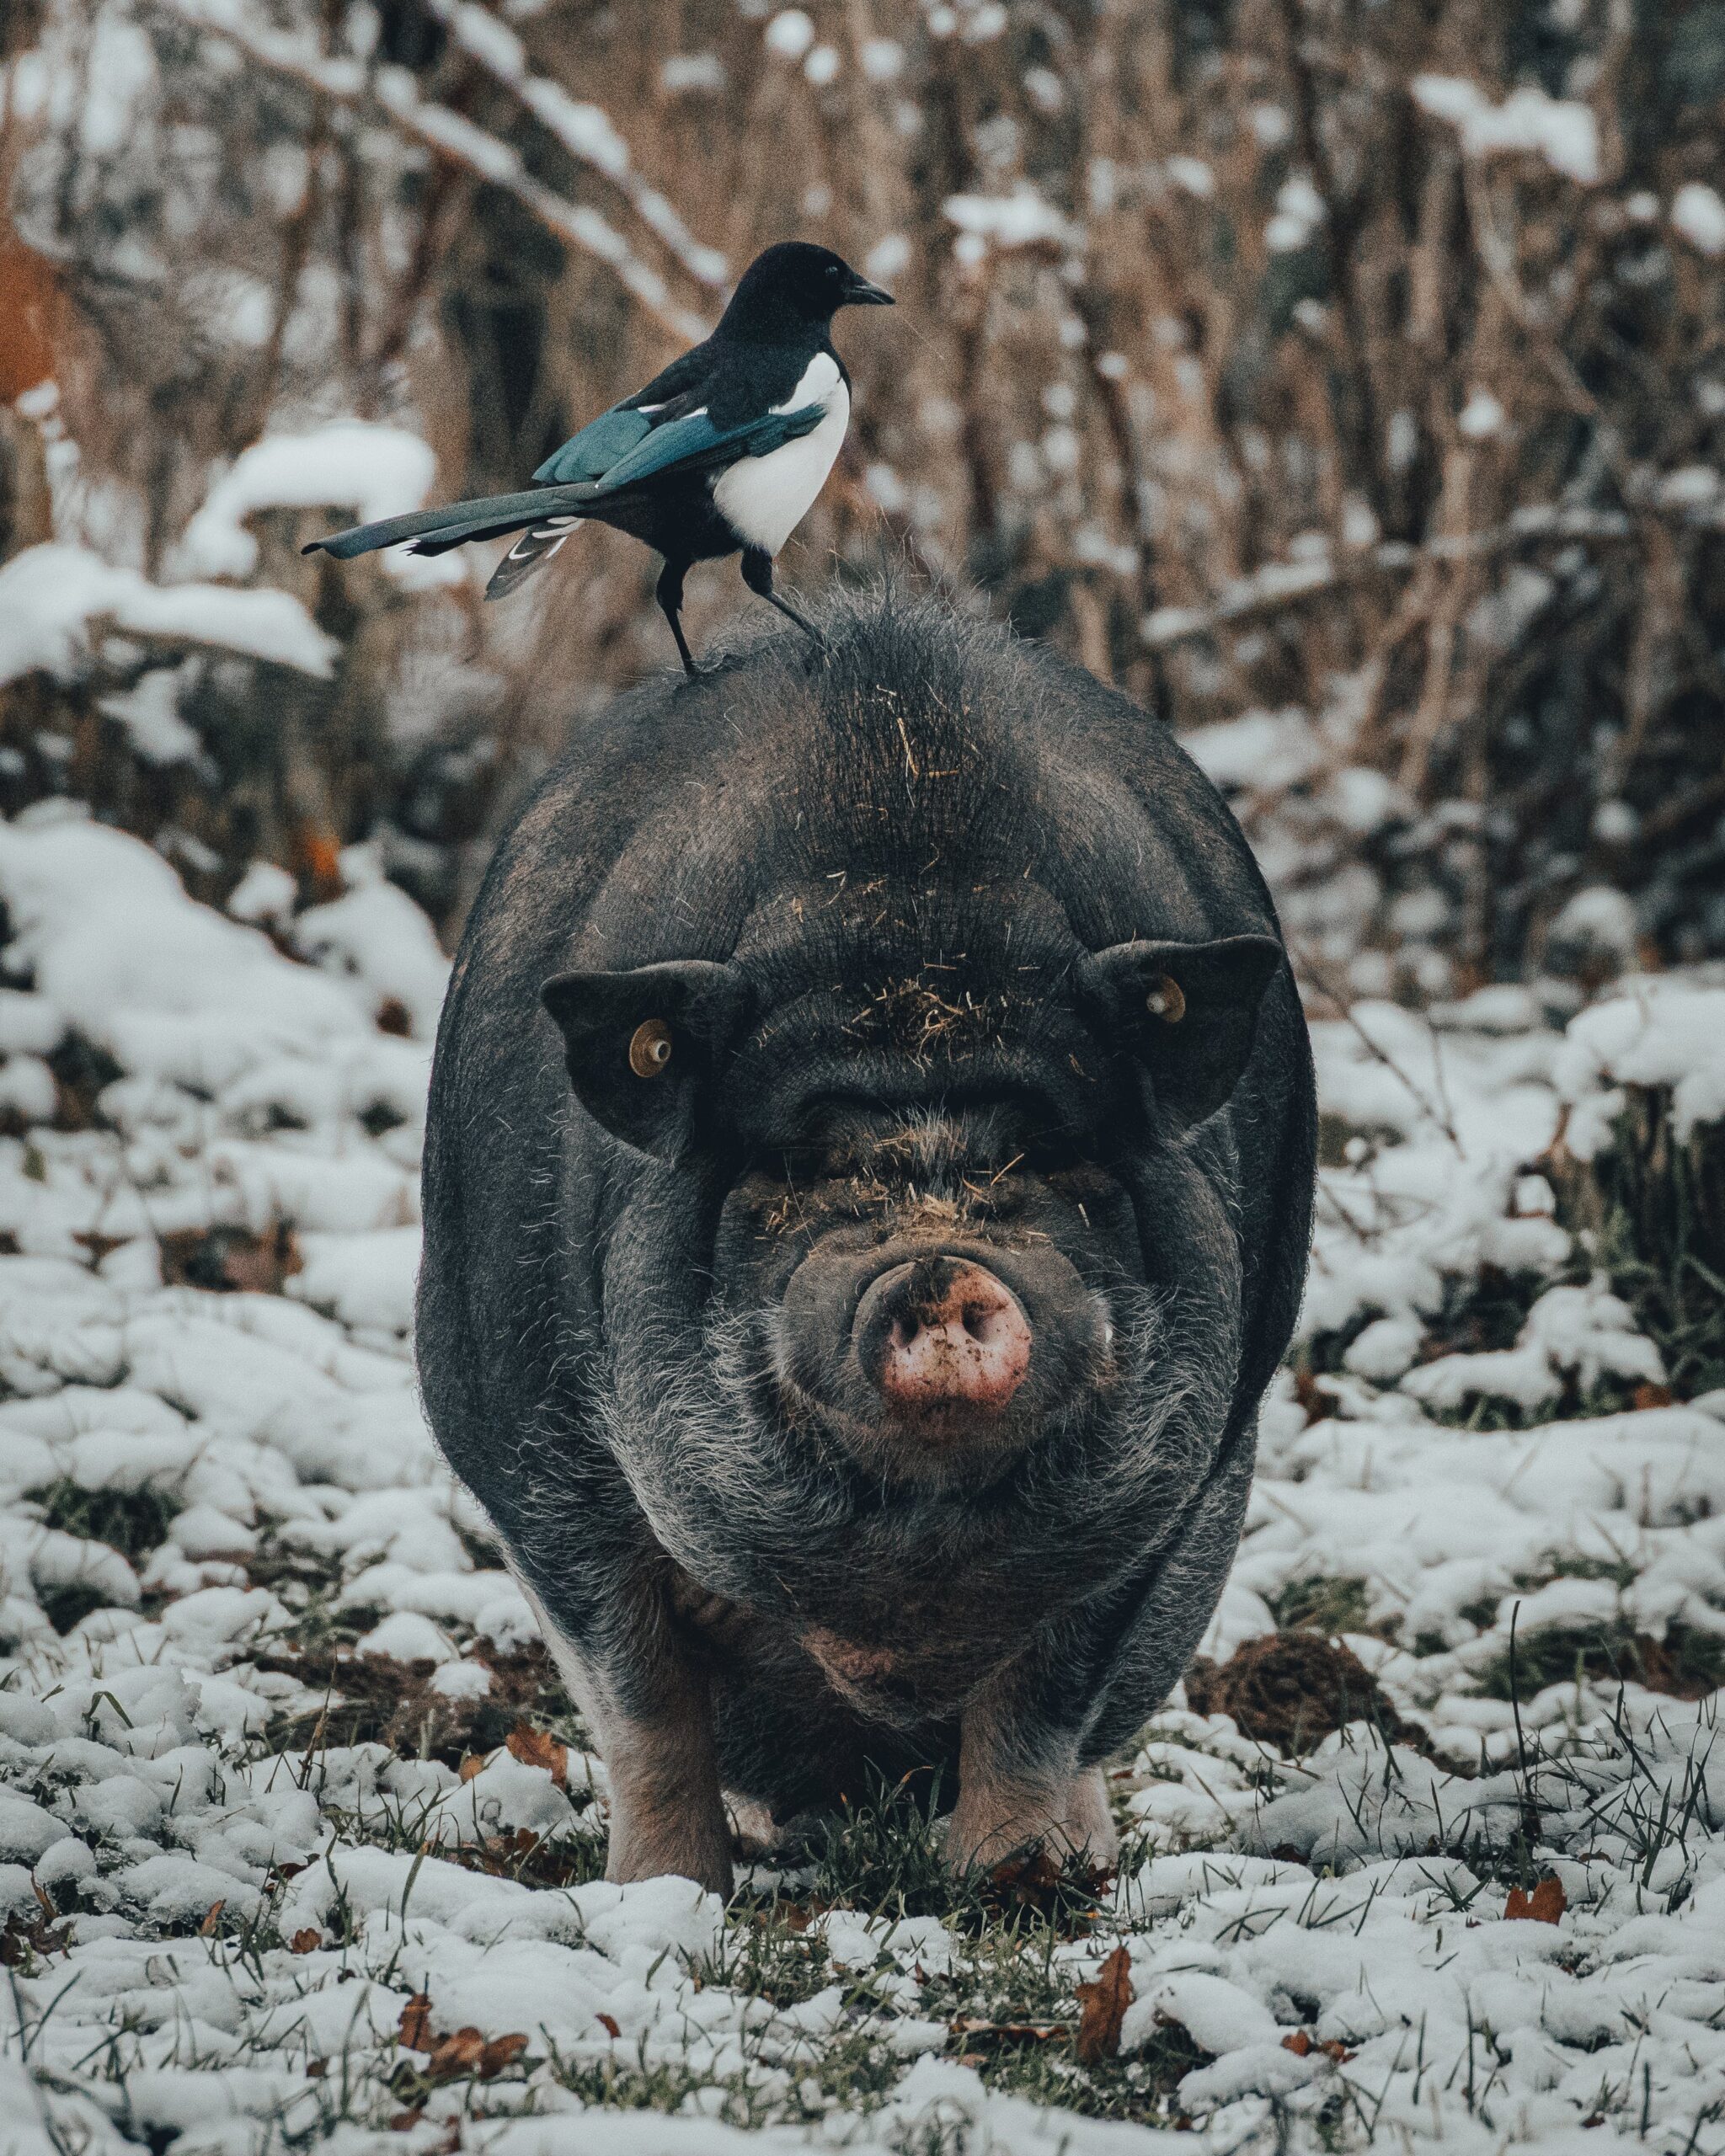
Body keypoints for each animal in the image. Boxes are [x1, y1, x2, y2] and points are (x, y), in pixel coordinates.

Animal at [417, 591, 1315, 1894]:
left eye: (1045, 1151)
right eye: (799, 1164)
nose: (938, 1266)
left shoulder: (1179, 1485)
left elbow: (1046, 1698)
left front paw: (1016, 1881)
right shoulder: (532, 1453)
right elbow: (642, 1698)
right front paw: (662, 1896)